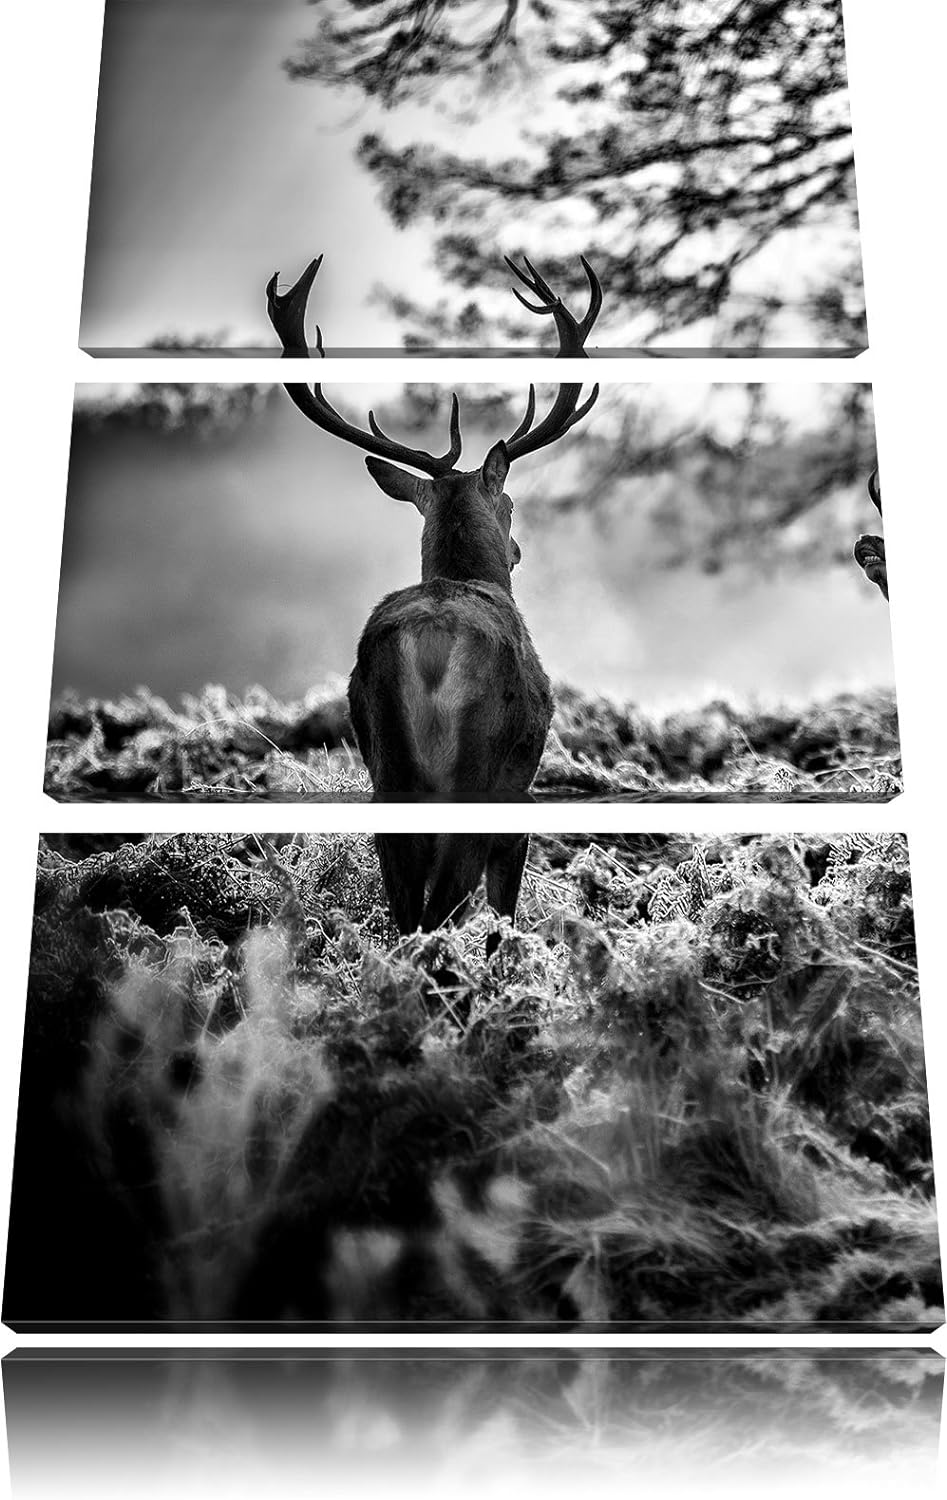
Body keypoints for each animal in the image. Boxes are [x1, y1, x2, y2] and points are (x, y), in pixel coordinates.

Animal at [265, 252, 602, 951]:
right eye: (510, 503)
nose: (517, 549)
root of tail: (428, 646)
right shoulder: (520, 795)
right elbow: (503, 913)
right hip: (479, 772)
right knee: (442, 902)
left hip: (387, 767)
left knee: (404, 906)